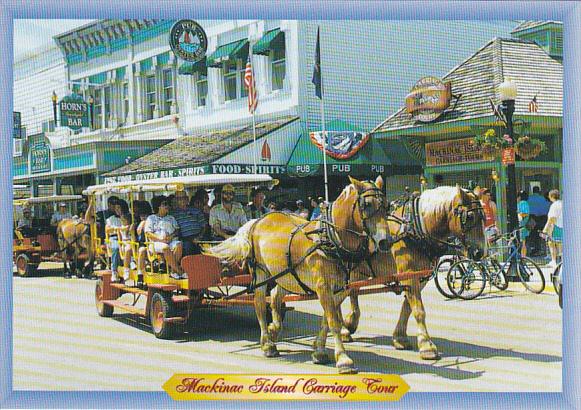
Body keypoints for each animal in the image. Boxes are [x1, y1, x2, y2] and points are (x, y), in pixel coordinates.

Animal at [206, 176, 392, 374]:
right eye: (367, 205)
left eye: (386, 205)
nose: (385, 241)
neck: (331, 239)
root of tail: (257, 221)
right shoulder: (323, 286)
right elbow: (333, 320)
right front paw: (343, 359)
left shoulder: (340, 288)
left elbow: (327, 319)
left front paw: (319, 351)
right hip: (261, 273)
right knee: (259, 303)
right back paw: (267, 344)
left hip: (285, 274)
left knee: (275, 296)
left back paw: (274, 330)